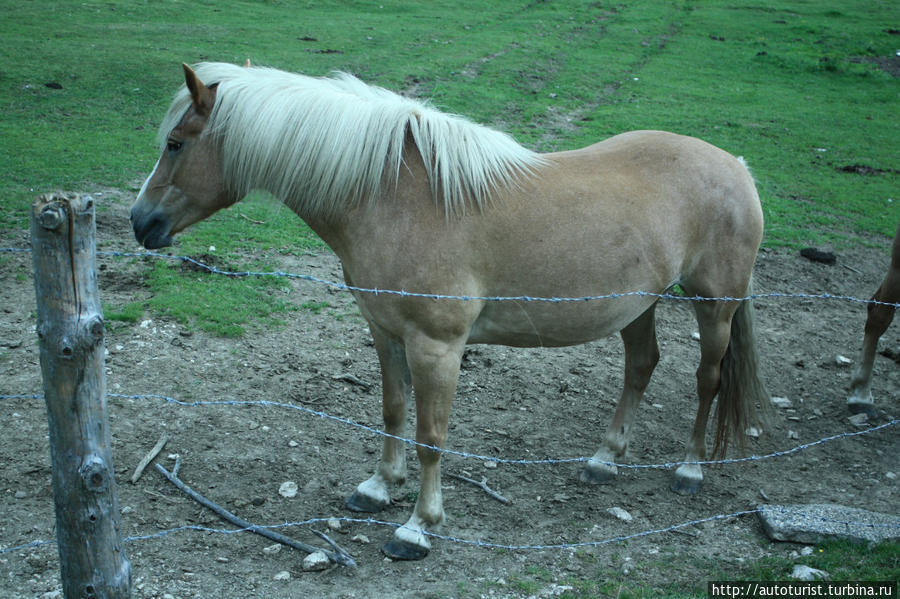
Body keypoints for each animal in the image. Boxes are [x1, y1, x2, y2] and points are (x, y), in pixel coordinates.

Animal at [130, 63, 768, 560]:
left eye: (176, 144)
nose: (140, 223)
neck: (395, 198)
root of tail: (736, 165)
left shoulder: (436, 346)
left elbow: (431, 437)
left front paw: (417, 528)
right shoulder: (385, 332)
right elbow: (392, 411)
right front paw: (377, 488)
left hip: (714, 303)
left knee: (707, 378)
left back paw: (689, 470)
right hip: (638, 306)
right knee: (641, 366)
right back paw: (604, 460)